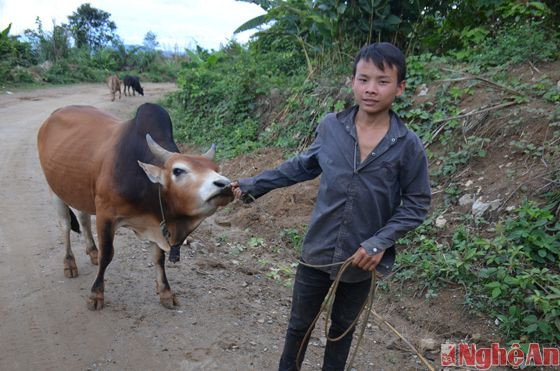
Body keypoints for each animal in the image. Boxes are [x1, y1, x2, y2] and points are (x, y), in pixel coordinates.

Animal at [37, 104, 233, 310]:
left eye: (216, 169)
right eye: (178, 170)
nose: (226, 185)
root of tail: (56, 113)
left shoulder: (156, 223)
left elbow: (158, 257)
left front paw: (166, 292)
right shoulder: (106, 214)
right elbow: (107, 254)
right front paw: (96, 294)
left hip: (79, 191)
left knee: (83, 219)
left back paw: (92, 252)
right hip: (54, 190)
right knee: (65, 225)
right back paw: (69, 263)